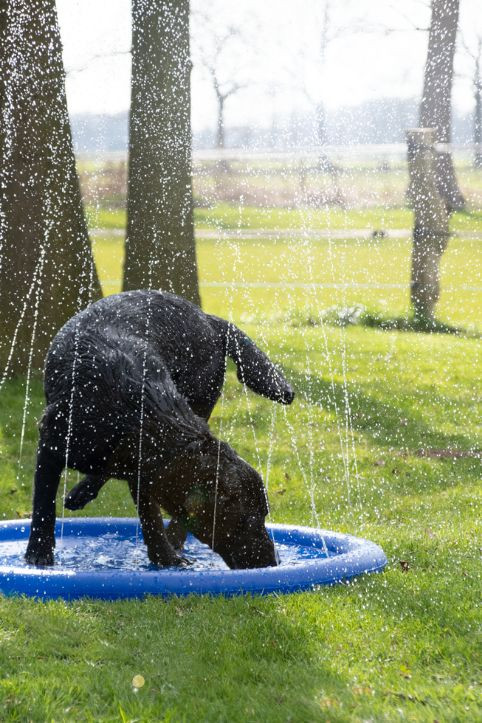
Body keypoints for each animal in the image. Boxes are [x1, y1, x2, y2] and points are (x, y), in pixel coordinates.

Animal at [25, 292, 294, 568]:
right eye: (246, 520)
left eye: (264, 514)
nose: (273, 561)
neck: (132, 411)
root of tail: (207, 317)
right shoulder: (50, 444)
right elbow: (44, 505)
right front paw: (38, 554)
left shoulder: (143, 471)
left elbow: (150, 516)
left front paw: (165, 558)